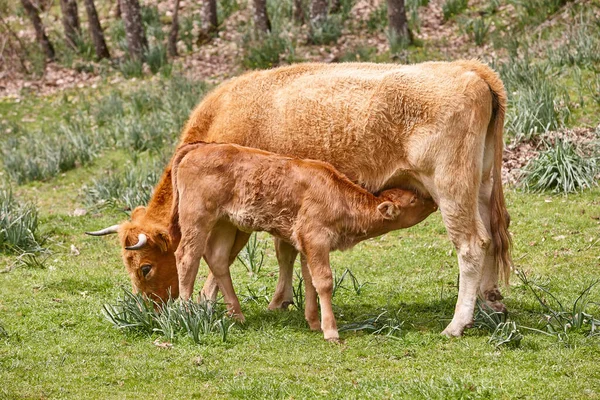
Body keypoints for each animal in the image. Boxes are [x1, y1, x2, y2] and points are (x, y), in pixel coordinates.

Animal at [166, 141, 438, 340]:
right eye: (413, 200)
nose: (433, 201)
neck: (338, 196)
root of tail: (198, 147)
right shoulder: (316, 239)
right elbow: (324, 281)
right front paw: (331, 331)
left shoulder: (308, 246)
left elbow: (309, 280)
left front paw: (314, 322)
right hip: (197, 220)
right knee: (187, 258)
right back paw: (186, 312)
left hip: (225, 223)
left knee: (218, 259)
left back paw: (238, 315)